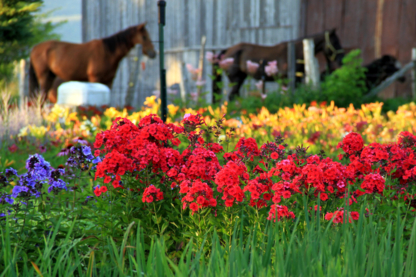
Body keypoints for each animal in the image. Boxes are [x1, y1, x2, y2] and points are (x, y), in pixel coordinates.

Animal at [28, 22, 156, 102]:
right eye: (144, 37)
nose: (153, 53)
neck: (108, 52)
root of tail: (34, 48)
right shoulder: (95, 78)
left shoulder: (109, 81)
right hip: (44, 77)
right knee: (40, 100)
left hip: (50, 77)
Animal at [214, 28, 344, 101]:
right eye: (335, 42)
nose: (341, 59)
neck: (295, 53)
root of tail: (227, 50)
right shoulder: (284, 80)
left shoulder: (296, 80)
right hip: (236, 79)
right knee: (232, 96)